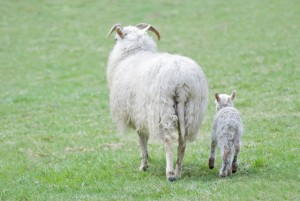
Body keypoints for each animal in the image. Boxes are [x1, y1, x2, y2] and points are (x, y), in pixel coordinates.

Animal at [106, 22, 209, 181]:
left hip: (163, 108)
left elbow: (142, 139)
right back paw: (178, 171)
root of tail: (181, 81)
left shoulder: (139, 114)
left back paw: (170, 173)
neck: (134, 52)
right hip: (192, 110)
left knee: (168, 140)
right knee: (182, 141)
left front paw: (143, 166)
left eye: (115, 39)